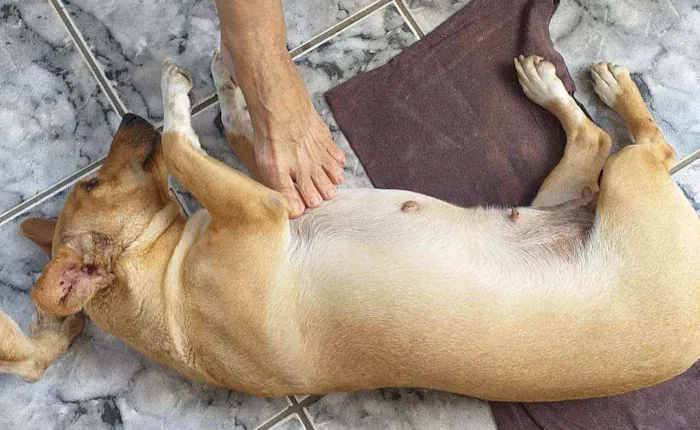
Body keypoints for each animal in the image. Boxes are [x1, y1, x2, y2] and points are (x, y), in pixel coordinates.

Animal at [1, 54, 700, 404]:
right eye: (90, 187)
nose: (129, 119)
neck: (165, 275)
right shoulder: (262, 208)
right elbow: (179, 147)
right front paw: (178, 100)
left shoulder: (274, 192)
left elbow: (237, 133)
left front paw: (229, 91)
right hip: (626, 182)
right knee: (642, 143)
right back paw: (608, 89)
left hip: (569, 192)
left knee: (594, 135)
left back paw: (548, 83)